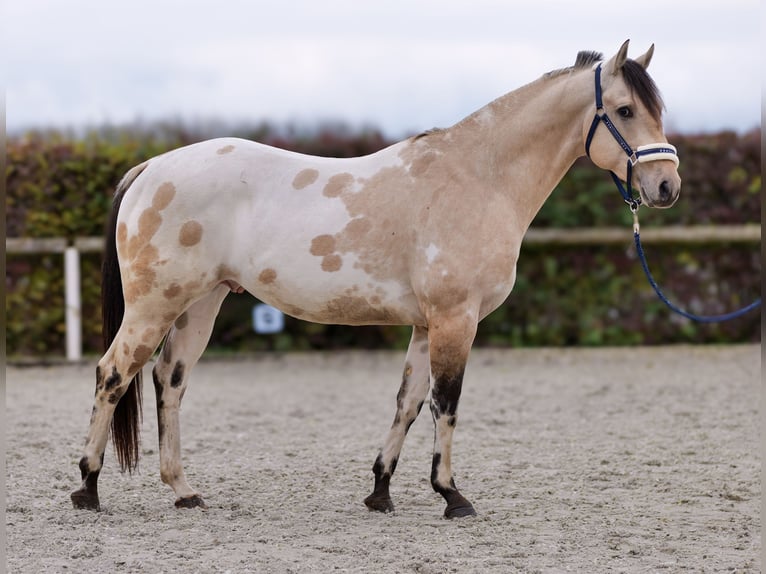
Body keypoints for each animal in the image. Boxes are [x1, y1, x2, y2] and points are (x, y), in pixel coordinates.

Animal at [73, 39, 684, 516]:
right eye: (625, 110)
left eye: (657, 108)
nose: (666, 187)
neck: (478, 177)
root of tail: (150, 167)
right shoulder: (455, 320)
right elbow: (446, 404)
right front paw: (452, 496)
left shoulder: (426, 325)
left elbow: (408, 404)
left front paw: (381, 491)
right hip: (154, 305)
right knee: (112, 374)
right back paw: (88, 487)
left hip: (200, 304)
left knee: (168, 381)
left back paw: (183, 491)